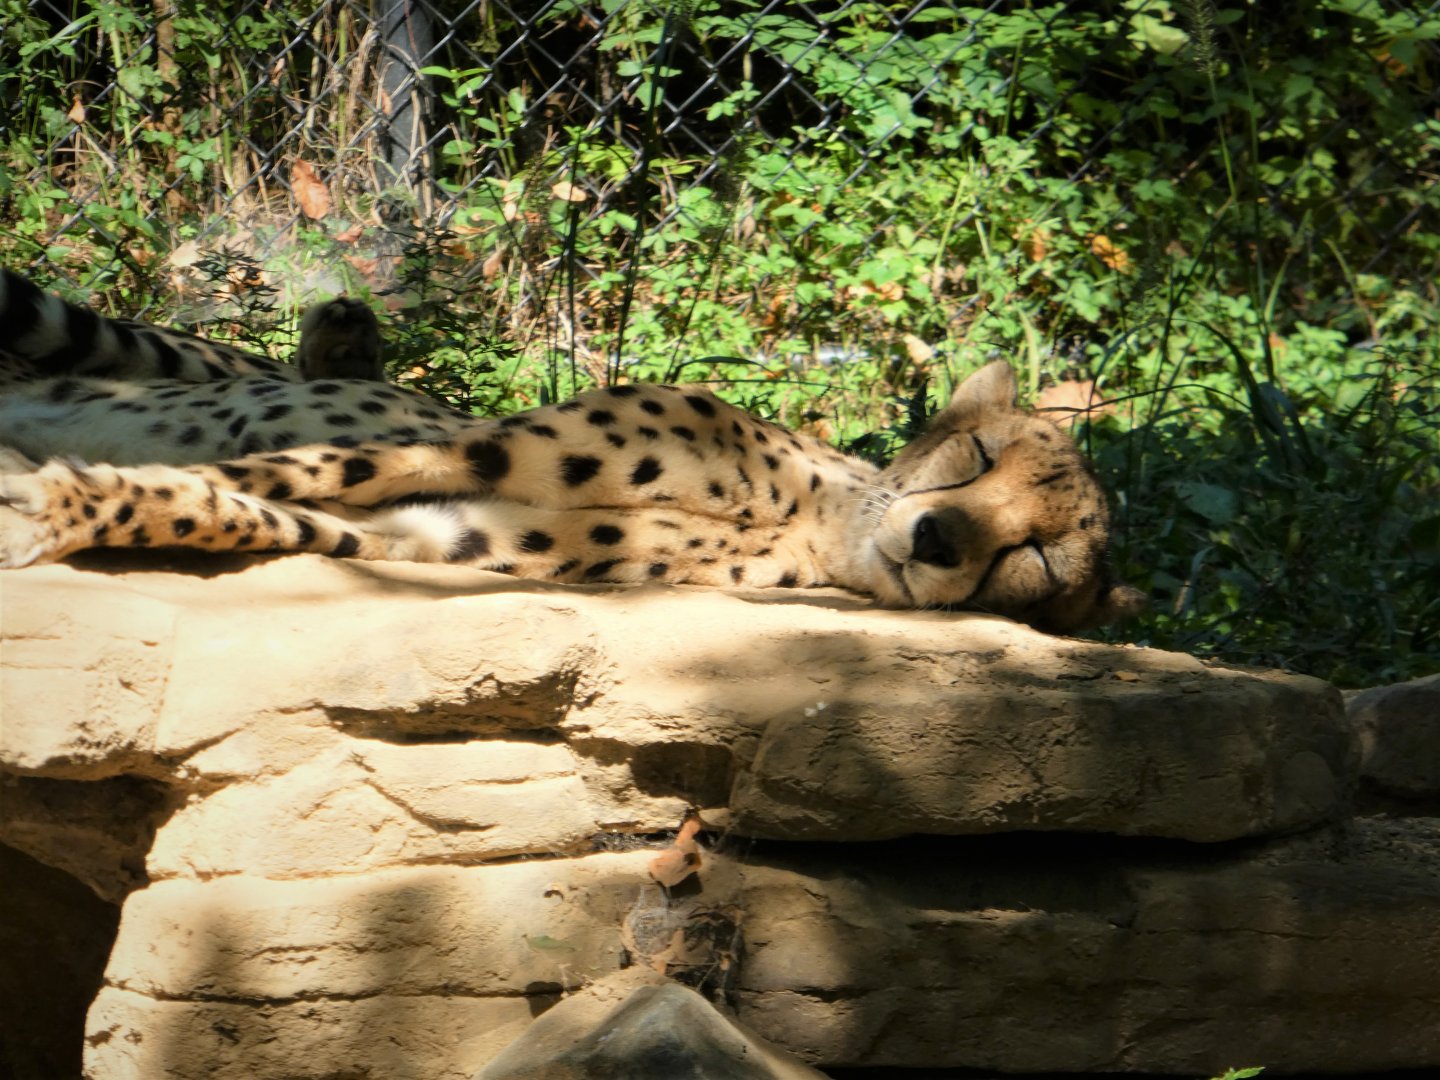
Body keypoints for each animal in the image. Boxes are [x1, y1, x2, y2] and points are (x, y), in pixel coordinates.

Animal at [0, 269, 1145, 633]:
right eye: (976, 457)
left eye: (1039, 561)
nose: (940, 537)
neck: (807, 519)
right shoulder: (479, 448)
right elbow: (258, 473)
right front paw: (49, 496)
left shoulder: (444, 535)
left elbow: (242, 508)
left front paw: (64, 507)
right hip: (115, 342)